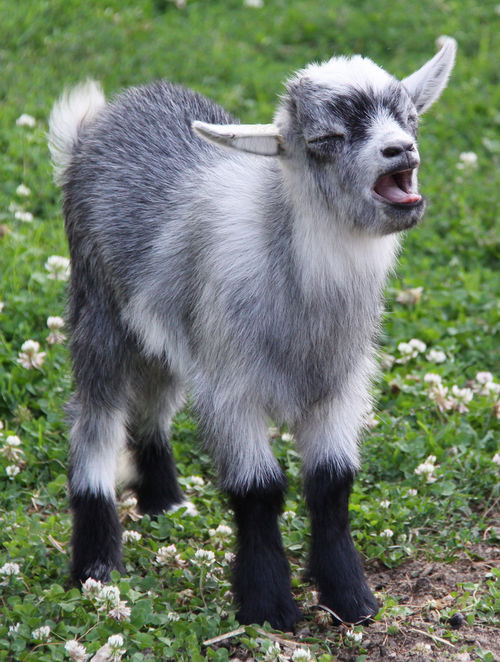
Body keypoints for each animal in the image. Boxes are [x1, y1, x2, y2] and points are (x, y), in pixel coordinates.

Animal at [48, 37, 456, 631]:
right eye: (325, 139)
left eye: (410, 119)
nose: (400, 150)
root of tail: (102, 118)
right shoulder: (233, 390)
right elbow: (258, 490)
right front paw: (268, 606)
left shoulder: (339, 389)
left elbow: (332, 484)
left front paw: (350, 597)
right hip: (98, 309)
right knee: (95, 422)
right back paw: (96, 564)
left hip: (166, 335)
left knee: (152, 405)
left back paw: (164, 501)